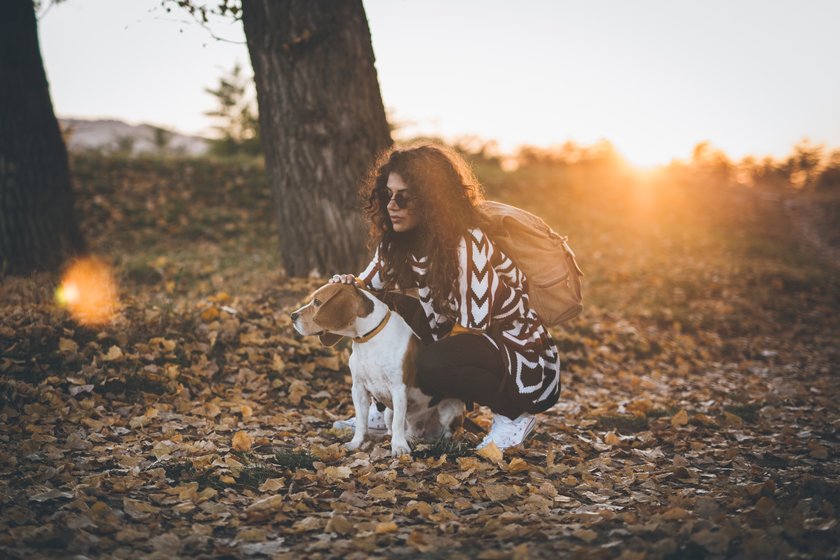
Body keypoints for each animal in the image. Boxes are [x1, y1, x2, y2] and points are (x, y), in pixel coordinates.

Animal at [290, 282, 462, 458]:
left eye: (317, 302)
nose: (292, 316)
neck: (368, 339)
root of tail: (421, 430)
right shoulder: (358, 388)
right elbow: (361, 421)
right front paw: (356, 443)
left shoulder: (399, 389)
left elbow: (398, 422)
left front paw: (399, 447)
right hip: (388, 412)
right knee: (397, 429)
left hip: (450, 407)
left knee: (444, 430)